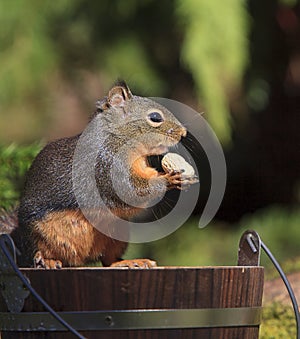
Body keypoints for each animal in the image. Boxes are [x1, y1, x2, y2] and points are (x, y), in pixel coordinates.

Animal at [2, 81, 195, 270]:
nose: (183, 133)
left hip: (117, 235)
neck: (118, 139)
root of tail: (79, 260)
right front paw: (169, 179)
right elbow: (132, 191)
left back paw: (130, 262)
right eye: (155, 117)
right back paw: (45, 260)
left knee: (108, 260)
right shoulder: (106, 165)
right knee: (37, 252)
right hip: (39, 234)